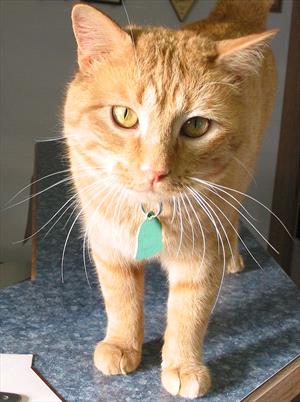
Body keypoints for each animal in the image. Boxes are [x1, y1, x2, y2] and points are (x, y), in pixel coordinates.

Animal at [63, 0, 276, 396]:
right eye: (124, 115)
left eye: (196, 126)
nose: (154, 171)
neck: (148, 213)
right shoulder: (108, 246)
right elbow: (121, 300)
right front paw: (123, 344)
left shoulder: (201, 257)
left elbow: (189, 313)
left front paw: (182, 365)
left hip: (239, 184)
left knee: (233, 221)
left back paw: (233, 256)